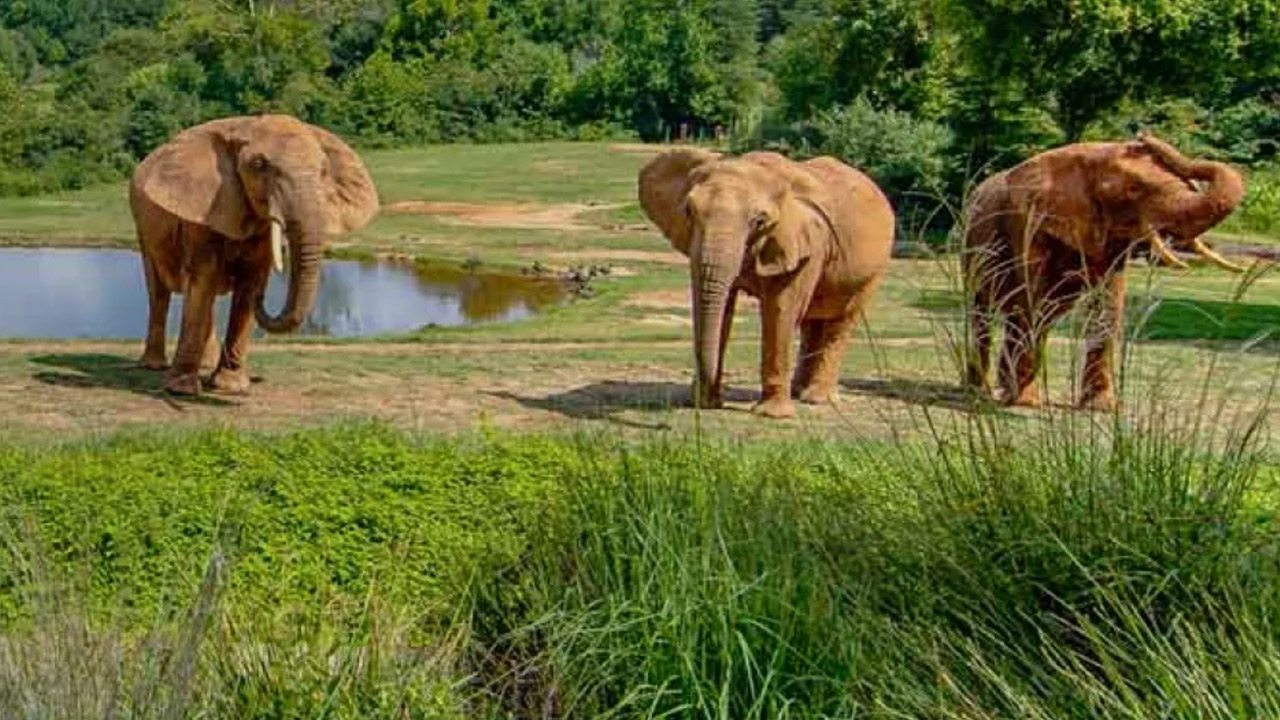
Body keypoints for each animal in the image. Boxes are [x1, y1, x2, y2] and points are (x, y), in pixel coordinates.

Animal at [131, 113, 378, 392]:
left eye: (324, 171)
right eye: (259, 164)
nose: (264, 297)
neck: (243, 125)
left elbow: (250, 281)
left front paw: (230, 387)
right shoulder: (201, 210)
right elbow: (204, 277)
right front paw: (182, 389)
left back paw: (205, 364)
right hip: (141, 224)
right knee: (159, 291)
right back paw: (154, 365)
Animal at [637, 148, 896, 417]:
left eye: (759, 221)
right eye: (689, 211)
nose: (703, 400)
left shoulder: (808, 242)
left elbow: (780, 309)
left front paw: (772, 415)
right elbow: (722, 306)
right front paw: (706, 402)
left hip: (874, 270)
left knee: (841, 320)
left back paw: (817, 399)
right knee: (812, 320)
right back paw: (799, 391)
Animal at [962, 130, 1244, 409]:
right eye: (1133, 189)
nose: (1143, 136)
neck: (1090, 155)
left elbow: (1107, 304)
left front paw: (1101, 407)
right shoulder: (1028, 223)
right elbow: (1033, 299)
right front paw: (1025, 402)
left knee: (1036, 315)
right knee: (985, 312)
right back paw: (980, 392)